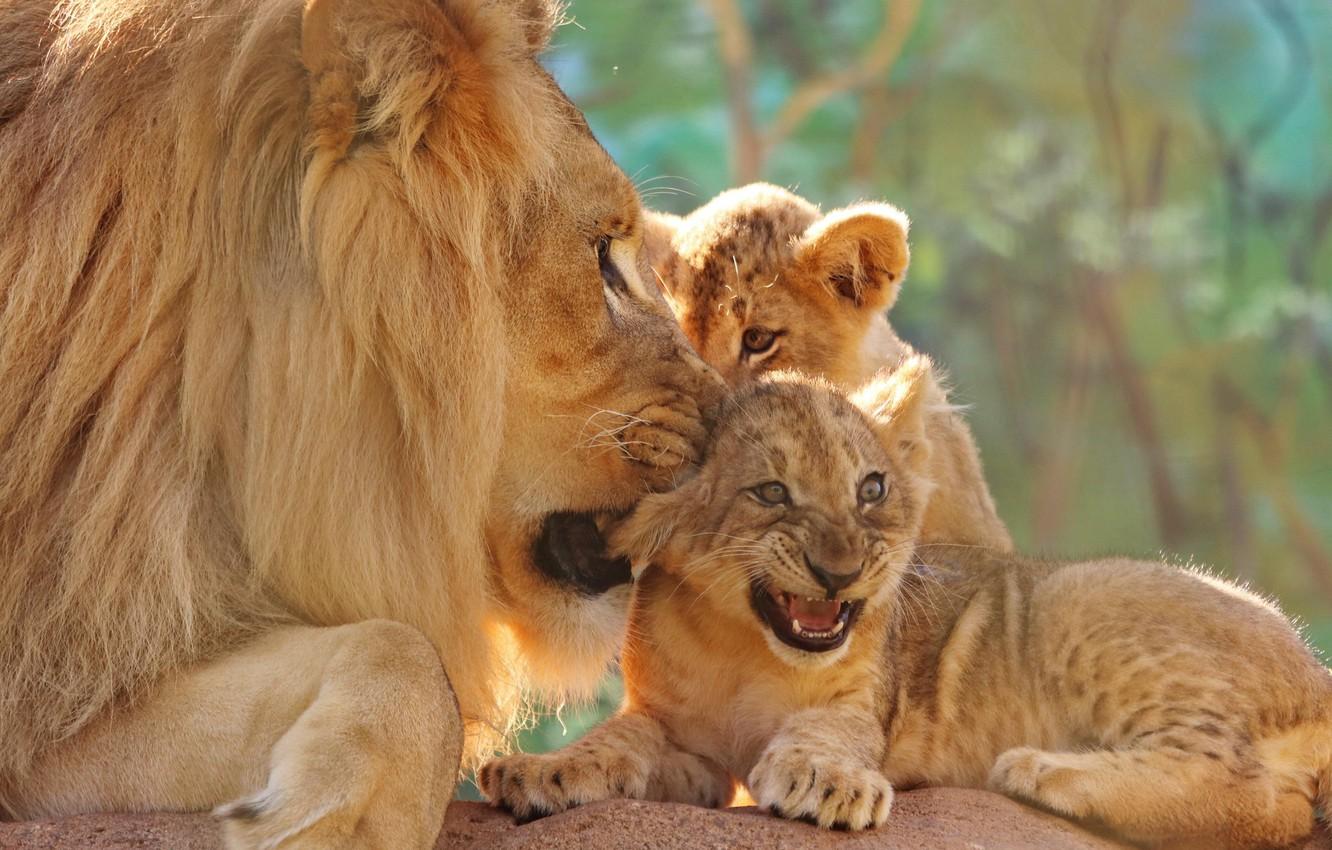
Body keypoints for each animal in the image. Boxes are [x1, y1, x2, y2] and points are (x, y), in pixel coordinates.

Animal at [482, 360, 1332, 850]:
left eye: (871, 488)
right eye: (771, 493)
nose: (840, 572)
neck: (741, 644)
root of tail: (1315, 673)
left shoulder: (862, 706)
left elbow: (826, 732)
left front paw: (827, 783)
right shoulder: (685, 745)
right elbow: (616, 741)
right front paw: (537, 773)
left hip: (1082, 596)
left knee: (1258, 796)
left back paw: (1041, 769)